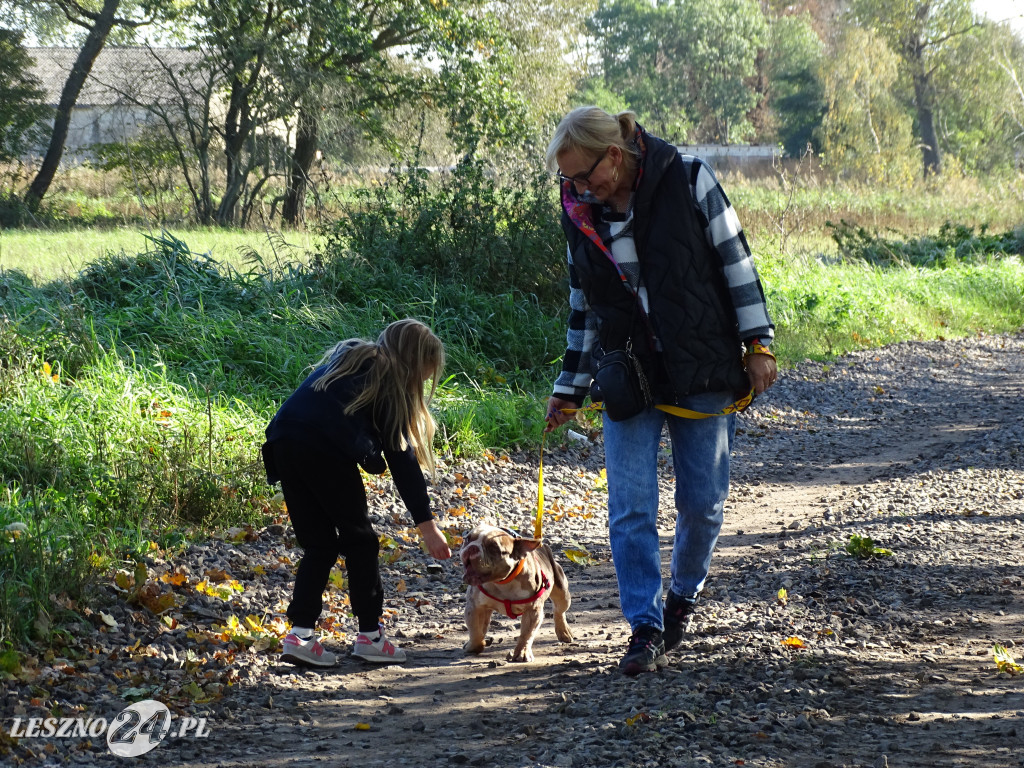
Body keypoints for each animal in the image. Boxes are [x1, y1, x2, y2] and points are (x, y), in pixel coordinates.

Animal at [458, 528, 573, 663]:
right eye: (467, 539)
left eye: (493, 548)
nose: (472, 547)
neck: (502, 581)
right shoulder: (475, 607)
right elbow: (475, 631)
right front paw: (473, 646)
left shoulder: (532, 610)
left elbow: (527, 634)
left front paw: (522, 652)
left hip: (563, 593)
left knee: (559, 611)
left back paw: (564, 632)